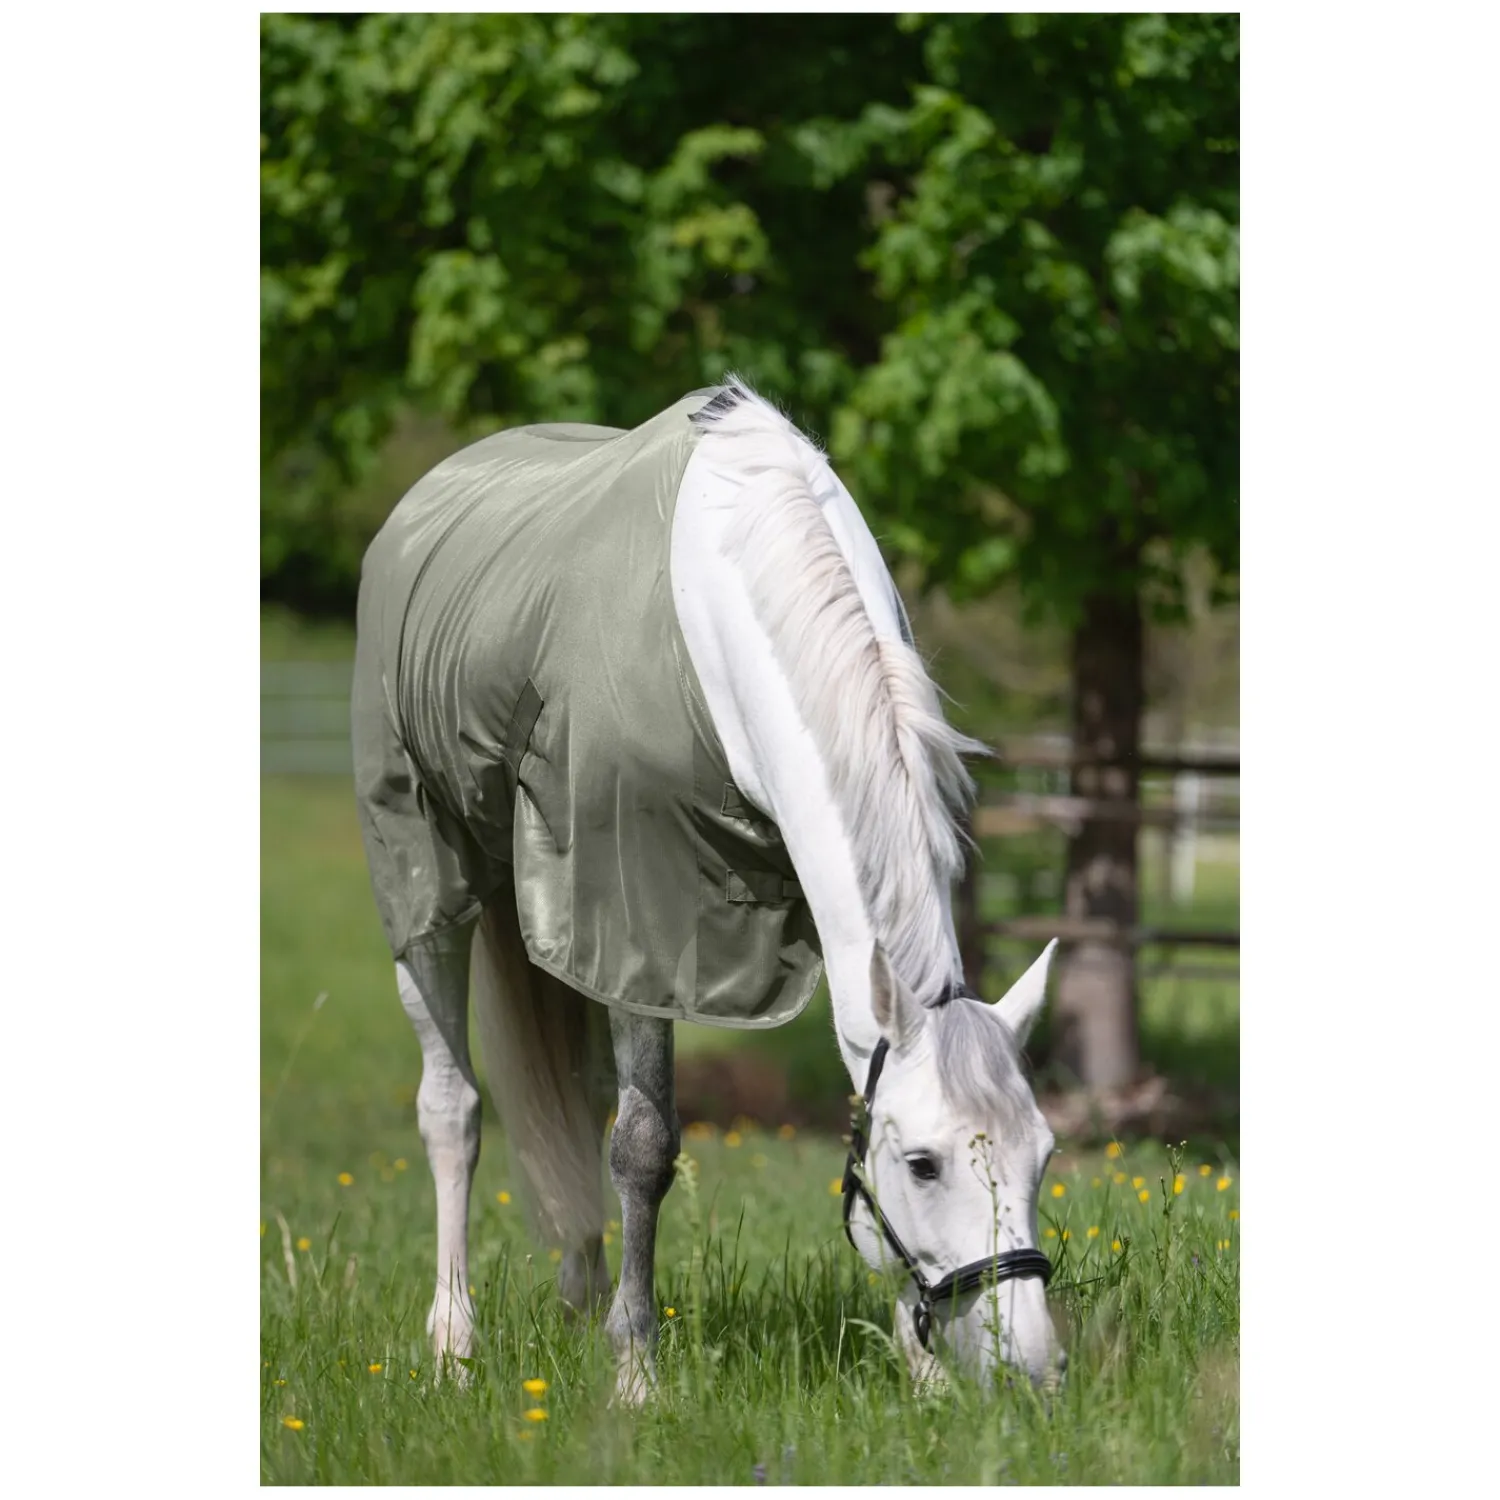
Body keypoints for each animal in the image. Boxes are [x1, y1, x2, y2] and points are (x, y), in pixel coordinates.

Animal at [351, 377, 1065, 1403]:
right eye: (923, 1165)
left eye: (1042, 1154)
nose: (1033, 1370)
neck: (725, 612)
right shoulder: (638, 911)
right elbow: (644, 1146)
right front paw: (637, 1376)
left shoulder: (627, 924)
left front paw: (922, 1376)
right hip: (427, 875)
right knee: (452, 1108)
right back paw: (453, 1341)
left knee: (575, 1094)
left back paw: (578, 1299)